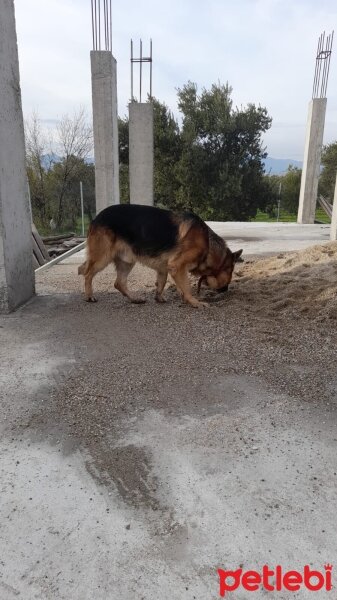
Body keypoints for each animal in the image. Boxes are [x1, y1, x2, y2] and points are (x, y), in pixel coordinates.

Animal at [79, 206, 242, 310]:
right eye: (230, 272)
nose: (226, 290)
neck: (208, 244)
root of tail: (95, 218)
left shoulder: (165, 267)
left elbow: (162, 283)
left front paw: (160, 298)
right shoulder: (177, 266)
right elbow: (186, 286)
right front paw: (194, 302)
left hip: (127, 260)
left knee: (118, 283)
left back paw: (134, 299)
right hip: (102, 258)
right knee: (88, 274)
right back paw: (89, 296)